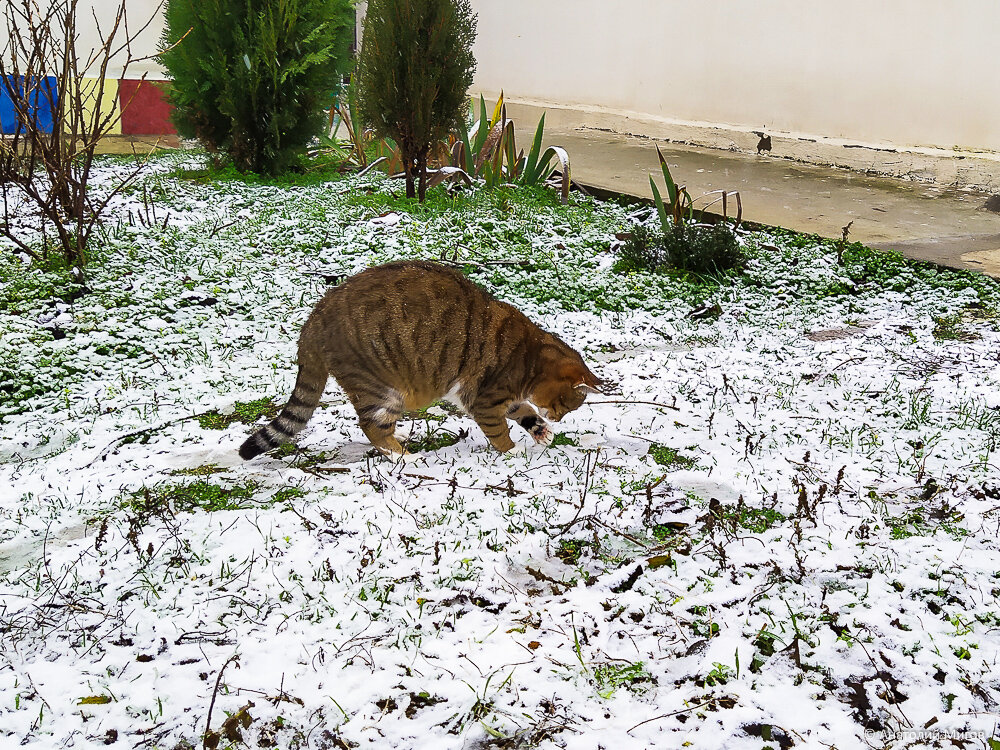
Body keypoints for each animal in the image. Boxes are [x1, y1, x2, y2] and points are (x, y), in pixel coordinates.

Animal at [240, 260, 600, 458]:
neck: (533, 356)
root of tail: (314, 319)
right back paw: (405, 458)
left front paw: (539, 430)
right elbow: (499, 432)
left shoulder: (504, 397)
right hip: (381, 386)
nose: (558, 418)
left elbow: (523, 412)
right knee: (372, 426)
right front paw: (513, 452)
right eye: (567, 404)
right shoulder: (485, 397)